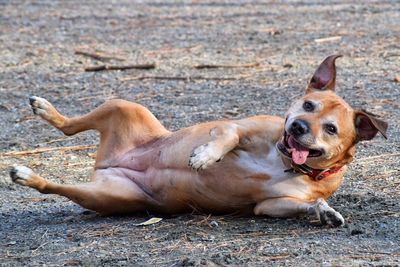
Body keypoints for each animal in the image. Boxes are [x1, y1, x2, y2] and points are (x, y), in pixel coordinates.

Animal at [10, 55, 388, 227]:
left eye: (331, 129)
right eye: (308, 105)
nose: (297, 127)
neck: (282, 161)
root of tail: (107, 163)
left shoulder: (270, 204)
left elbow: (301, 205)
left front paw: (324, 212)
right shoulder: (238, 127)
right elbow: (226, 135)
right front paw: (206, 156)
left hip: (110, 194)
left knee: (55, 186)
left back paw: (28, 176)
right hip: (123, 105)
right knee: (68, 128)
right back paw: (45, 111)